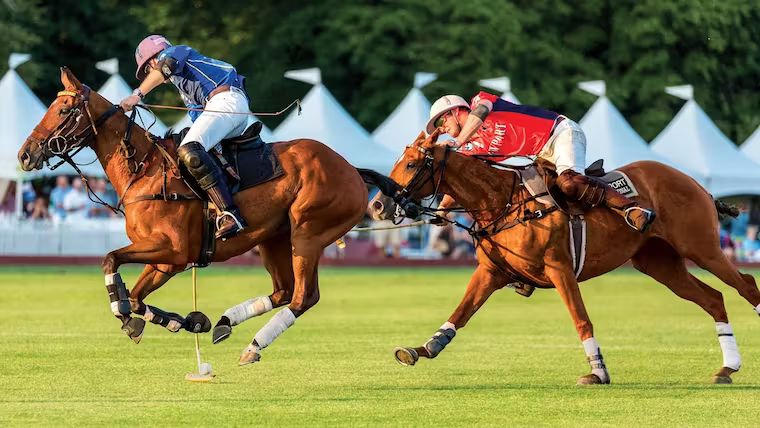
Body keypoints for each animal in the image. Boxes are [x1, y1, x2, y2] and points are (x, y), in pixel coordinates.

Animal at [19, 67, 370, 364]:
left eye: (64, 110)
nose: (25, 154)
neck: (144, 170)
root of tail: (353, 170)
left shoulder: (173, 249)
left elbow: (110, 260)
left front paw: (124, 315)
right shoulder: (167, 262)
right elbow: (135, 296)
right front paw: (183, 321)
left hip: (308, 232)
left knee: (303, 297)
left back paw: (252, 346)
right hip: (274, 237)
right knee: (283, 290)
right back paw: (226, 322)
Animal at [368, 130, 760, 384]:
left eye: (412, 164)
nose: (377, 206)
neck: (502, 202)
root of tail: (698, 185)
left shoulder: (559, 269)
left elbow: (581, 319)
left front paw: (598, 371)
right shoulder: (491, 272)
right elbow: (460, 314)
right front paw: (422, 348)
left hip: (702, 247)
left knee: (745, 284)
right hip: (659, 264)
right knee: (714, 298)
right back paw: (727, 369)